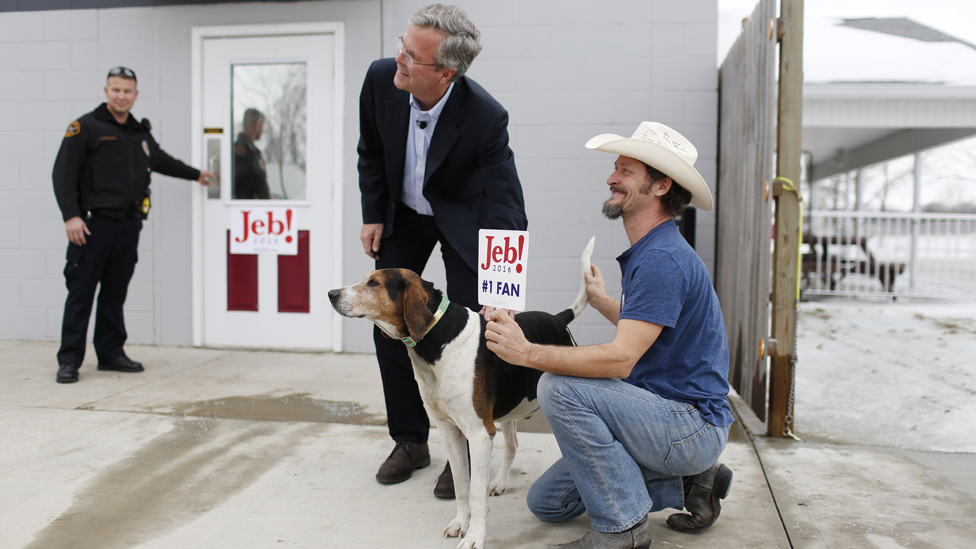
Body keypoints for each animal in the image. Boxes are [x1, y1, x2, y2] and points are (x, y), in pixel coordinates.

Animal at [328, 239, 596, 548]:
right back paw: (500, 482)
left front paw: (475, 537)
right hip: (509, 410)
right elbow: (461, 486)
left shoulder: (479, 434)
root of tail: (557, 319)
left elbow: (476, 496)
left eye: (373, 283)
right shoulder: (449, 430)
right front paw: (460, 523)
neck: (438, 339)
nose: (331, 294)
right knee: (513, 445)